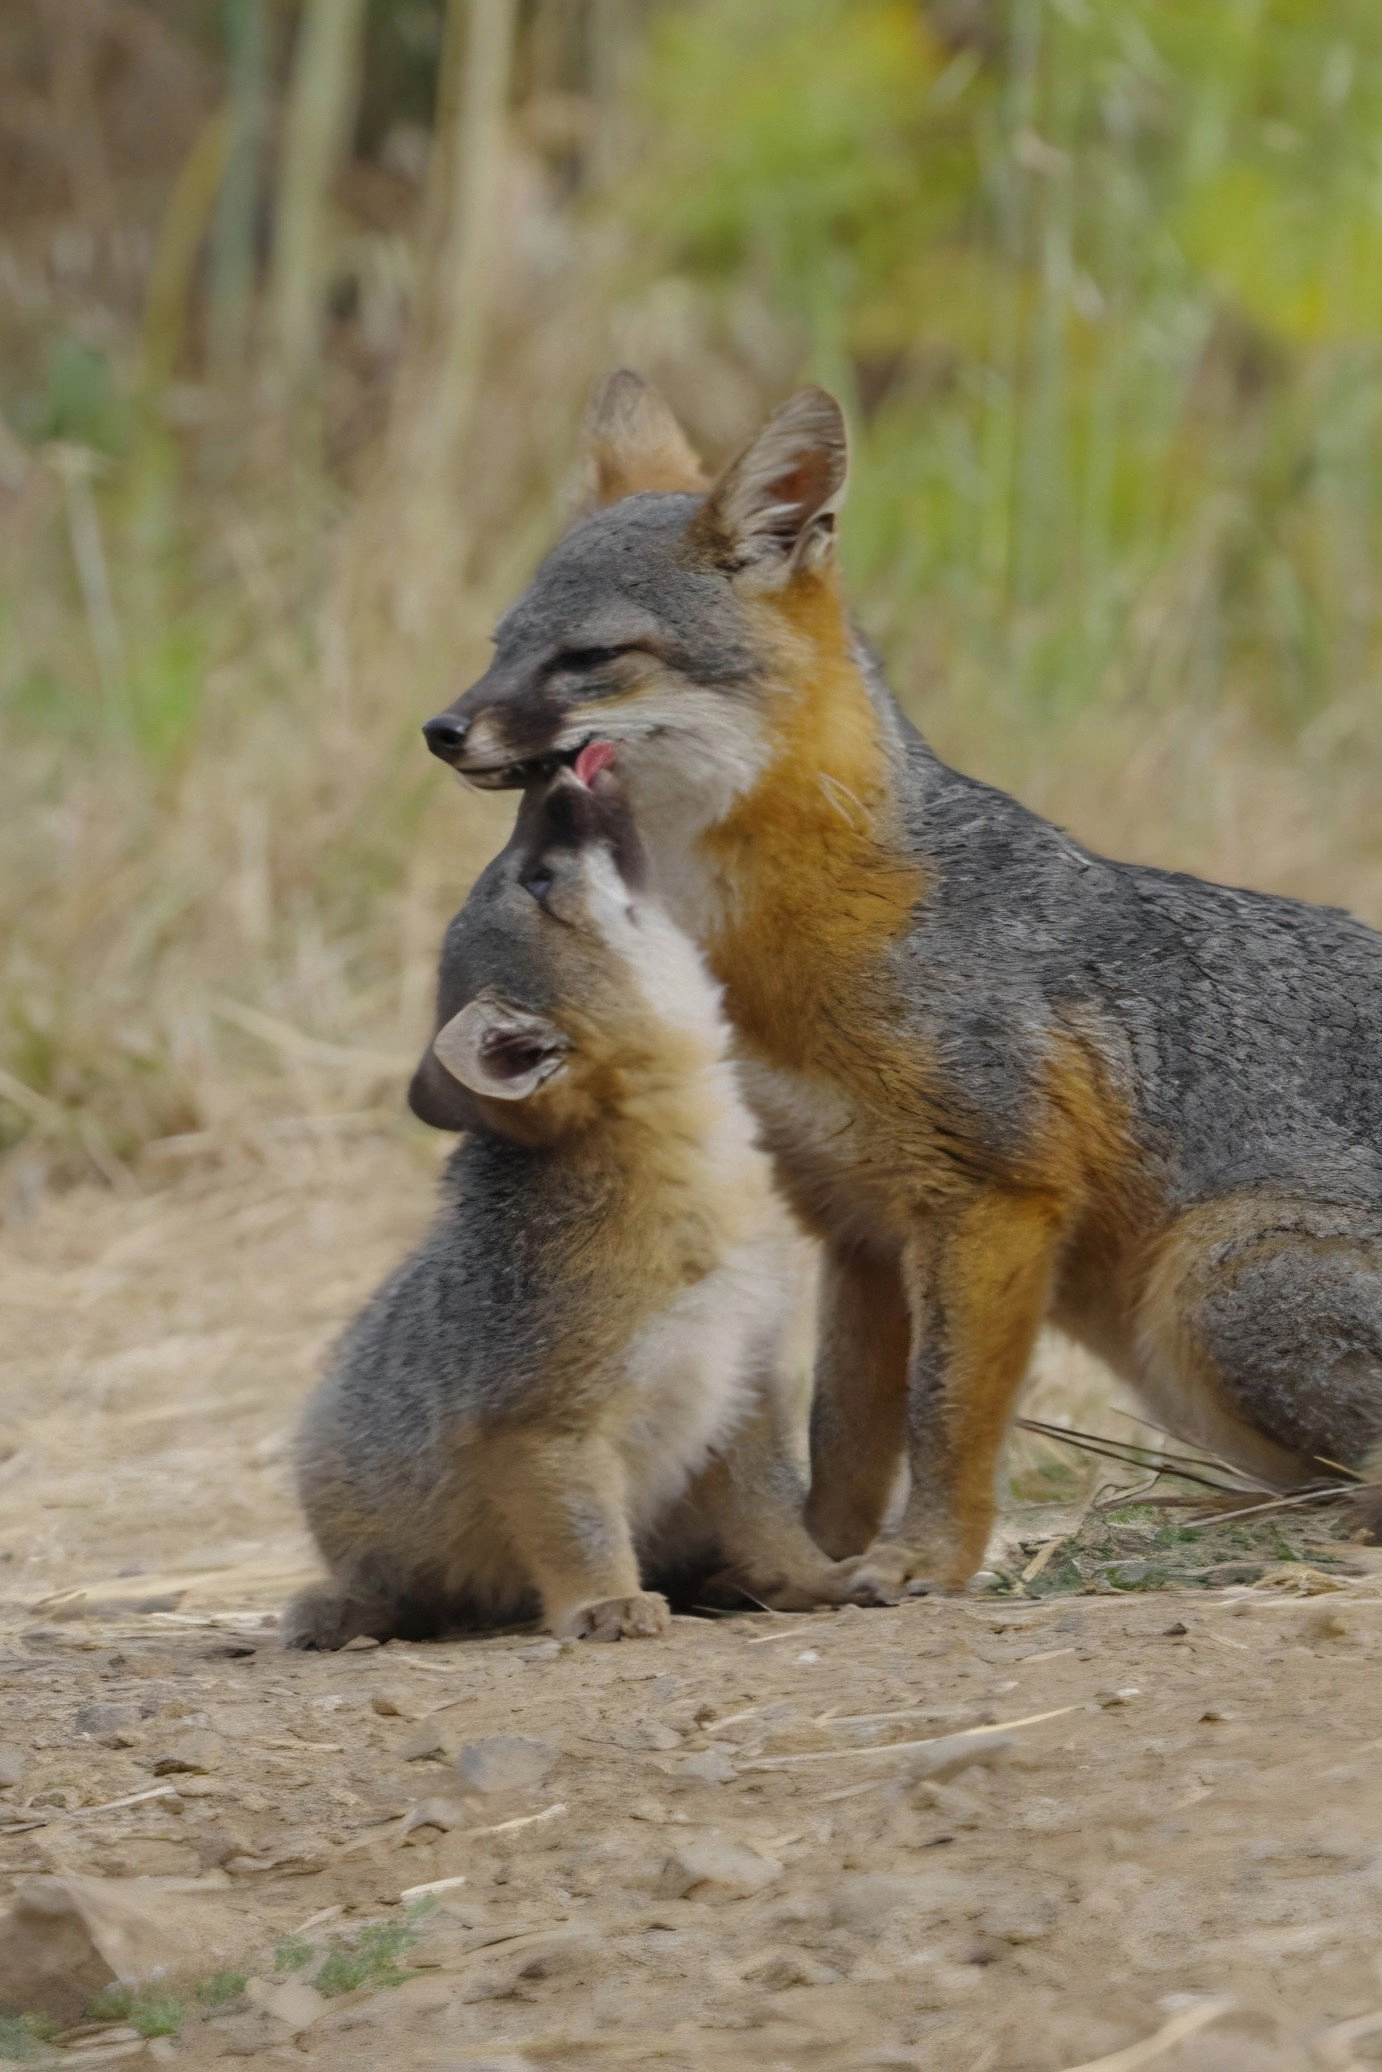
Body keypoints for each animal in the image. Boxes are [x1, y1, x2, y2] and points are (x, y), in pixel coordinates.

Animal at [283, 749, 856, 1648]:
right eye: (540, 878)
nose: (547, 777)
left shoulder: (741, 1380)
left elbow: (771, 1512)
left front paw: (810, 1579)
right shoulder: (538, 1422)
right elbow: (580, 1529)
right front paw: (605, 1603)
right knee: (398, 1593)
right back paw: (345, 1609)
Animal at [417, 369, 1382, 1601]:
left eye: (589, 657)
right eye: (499, 645)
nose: (441, 729)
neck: (771, 944)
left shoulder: (990, 1194)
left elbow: (947, 1412)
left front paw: (929, 1555)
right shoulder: (857, 1223)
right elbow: (846, 1429)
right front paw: (813, 1562)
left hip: (1212, 1279)